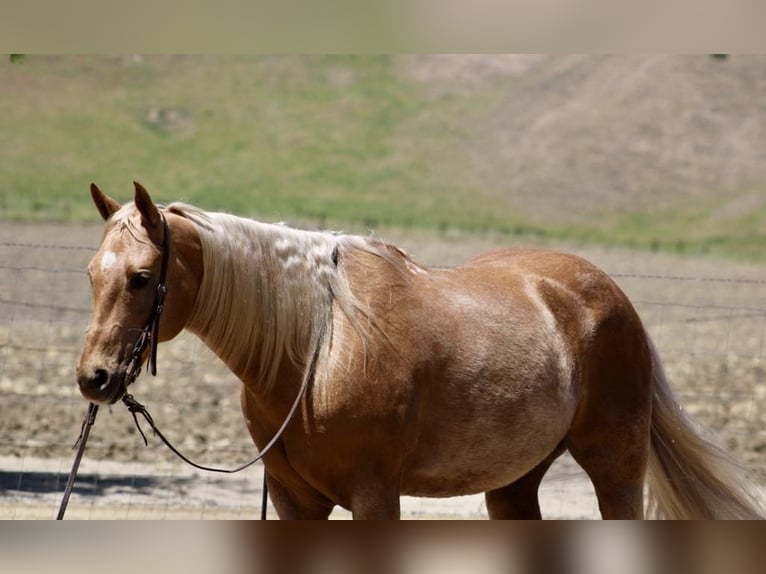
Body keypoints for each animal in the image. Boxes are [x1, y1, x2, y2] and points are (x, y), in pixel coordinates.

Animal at [76, 181, 763, 519]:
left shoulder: (375, 498)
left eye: (141, 277)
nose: (95, 378)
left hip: (615, 468)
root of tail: (609, 294)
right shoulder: (297, 503)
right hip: (514, 484)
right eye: (91, 273)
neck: (317, 352)